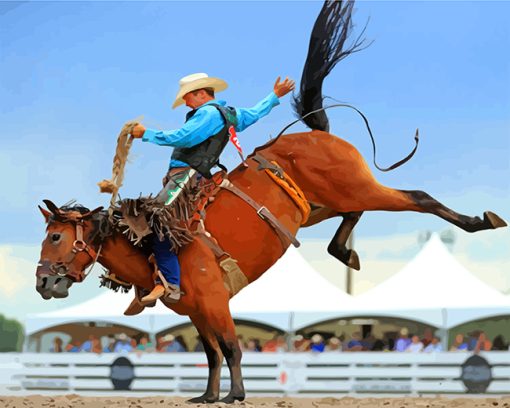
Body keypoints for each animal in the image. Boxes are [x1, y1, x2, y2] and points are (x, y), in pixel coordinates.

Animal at [34, 0, 506, 402]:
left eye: (56, 237)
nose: (42, 283)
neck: (151, 247)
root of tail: (314, 132)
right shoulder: (195, 310)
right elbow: (211, 353)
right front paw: (208, 395)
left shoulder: (215, 302)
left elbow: (231, 347)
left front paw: (236, 395)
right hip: (321, 206)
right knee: (354, 215)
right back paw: (346, 253)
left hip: (360, 187)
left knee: (417, 197)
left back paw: (482, 220)